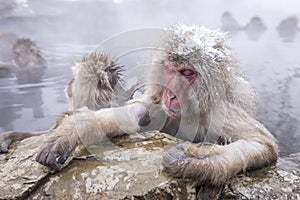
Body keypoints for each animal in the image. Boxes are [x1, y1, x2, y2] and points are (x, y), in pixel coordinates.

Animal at [0, 24, 278, 186]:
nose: (171, 94)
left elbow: (261, 143)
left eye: (187, 73)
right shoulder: (156, 100)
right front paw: (70, 133)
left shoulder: (220, 110)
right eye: (170, 69)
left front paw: (195, 161)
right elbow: (133, 113)